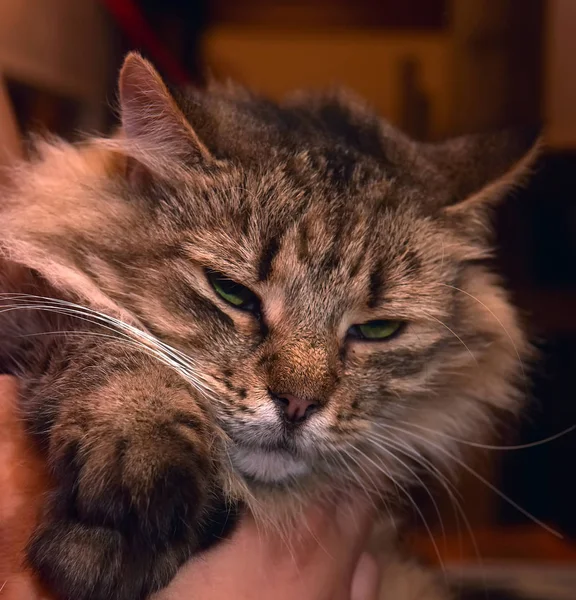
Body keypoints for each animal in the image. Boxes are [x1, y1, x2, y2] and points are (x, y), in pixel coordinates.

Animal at [0, 52, 552, 600]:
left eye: (377, 330)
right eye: (231, 292)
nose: (298, 405)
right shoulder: (24, 297)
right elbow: (106, 335)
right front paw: (135, 475)